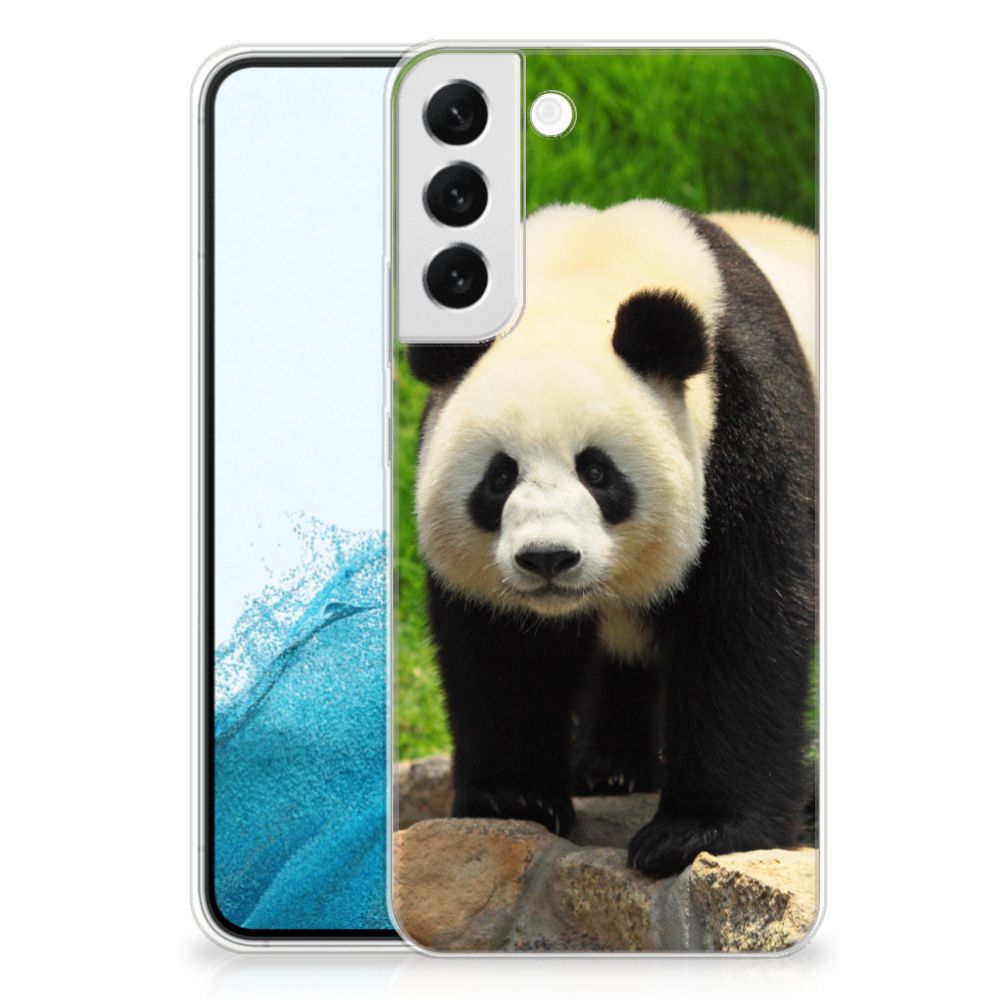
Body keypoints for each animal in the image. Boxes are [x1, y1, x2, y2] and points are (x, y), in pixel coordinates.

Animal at [406, 199, 817, 878]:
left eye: (597, 472)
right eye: (499, 477)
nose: (548, 558)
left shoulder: (748, 420)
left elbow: (744, 623)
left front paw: (695, 833)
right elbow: (502, 649)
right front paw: (514, 799)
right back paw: (610, 769)